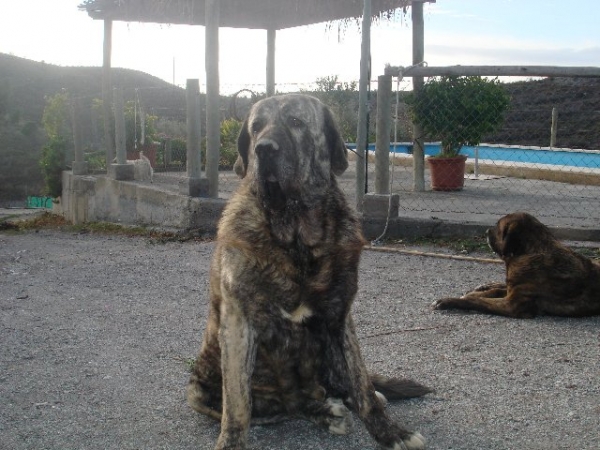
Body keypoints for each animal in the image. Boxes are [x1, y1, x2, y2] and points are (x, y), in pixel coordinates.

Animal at [432, 213, 600, 318]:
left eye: (498, 227)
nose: (486, 231)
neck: (528, 252)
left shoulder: (512, 304)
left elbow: (479, 301)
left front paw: (448, 301)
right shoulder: (512, 291)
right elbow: (492, 292)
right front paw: (478, 292)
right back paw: (485, 285)